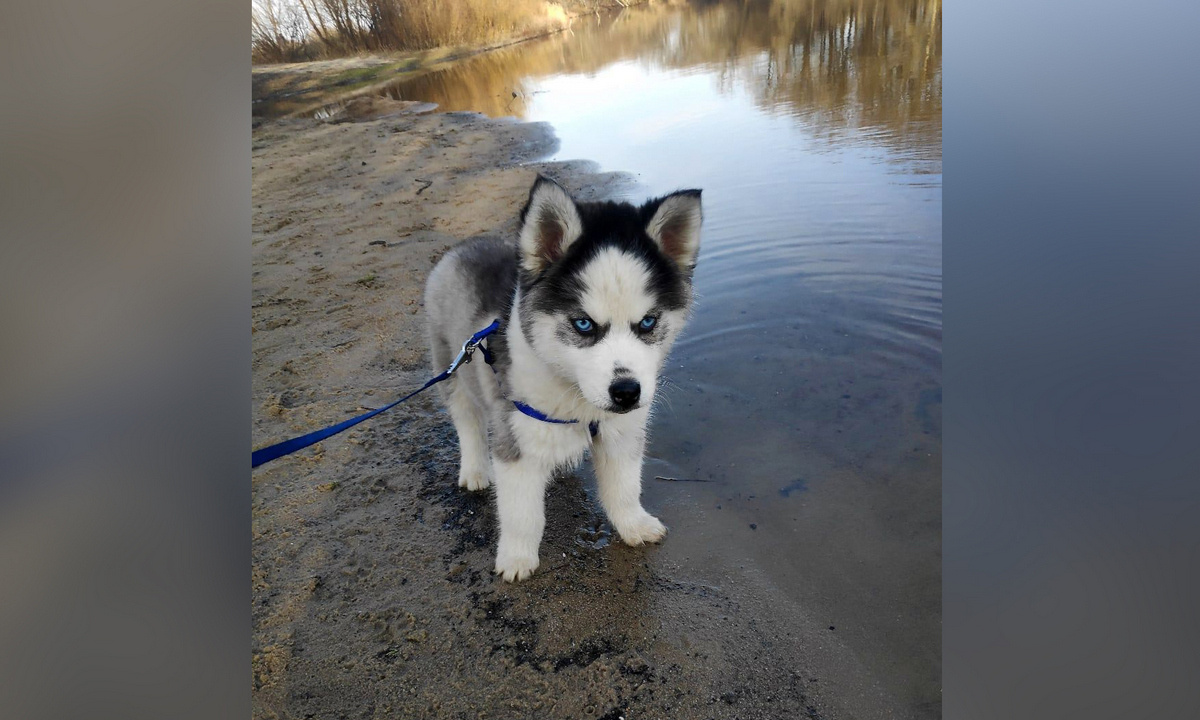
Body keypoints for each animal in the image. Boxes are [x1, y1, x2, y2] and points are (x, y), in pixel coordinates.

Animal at [424, 177, 700, 583]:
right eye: (583, 324)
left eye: (648, 322)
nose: (626, 393)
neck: (577, 397)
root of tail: (465, 245)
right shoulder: (517, 436)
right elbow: (521, 513)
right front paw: (517, 557)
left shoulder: (620, 433)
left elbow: (624, 487)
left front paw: (633, 524)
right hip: (453, 368)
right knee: (467, 422)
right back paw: (474, 469)